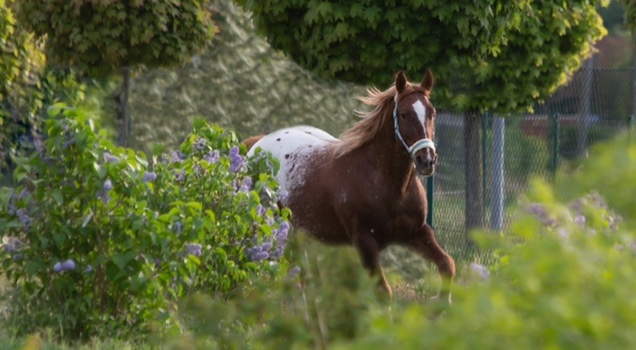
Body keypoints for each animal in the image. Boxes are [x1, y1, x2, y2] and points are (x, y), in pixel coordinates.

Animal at [246, 71, 454, 304]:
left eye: (432, 113)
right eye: (404, 114)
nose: (426, 160)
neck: (389, 186)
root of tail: (256, 145)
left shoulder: (417, 232)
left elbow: (447, 264)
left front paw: (443, 302)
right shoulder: (364, 242)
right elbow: (383, 292)